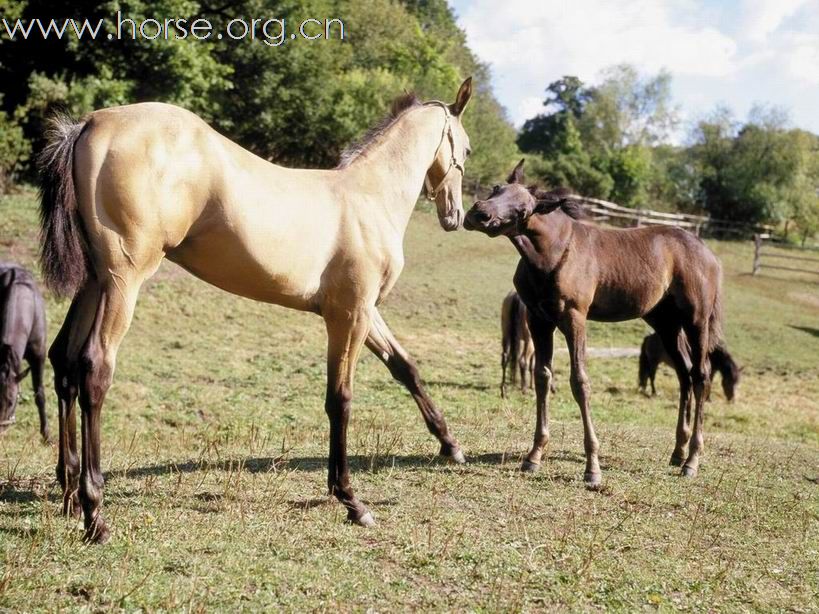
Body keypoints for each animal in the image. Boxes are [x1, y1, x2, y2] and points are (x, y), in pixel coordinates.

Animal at [36, 78, 474, 544]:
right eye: (465, 150)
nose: (455, 215)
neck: (368, 197)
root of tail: (90, 122)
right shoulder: (350, 316)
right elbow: (340, 399)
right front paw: (351, 500)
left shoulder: (363, 312)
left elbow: (405, 367)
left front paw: (450, 445)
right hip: (123, 280)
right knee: (94, 368)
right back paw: (94, 514)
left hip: (94, 281)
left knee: (64, 361)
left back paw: (68, 492)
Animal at [468, 160, 724, 490]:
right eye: (497, 188)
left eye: (523, 209)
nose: (479, 213)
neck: (553, 254)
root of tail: (709, 255)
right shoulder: (539, 320)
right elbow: (542, 376)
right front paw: (534, 455)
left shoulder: (575, 318)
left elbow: (580, 382)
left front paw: (593, 468)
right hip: (665, 322)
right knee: (685, 374)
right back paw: (678, 452)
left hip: (696, 319)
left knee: (701, 375)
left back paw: (692, 460)